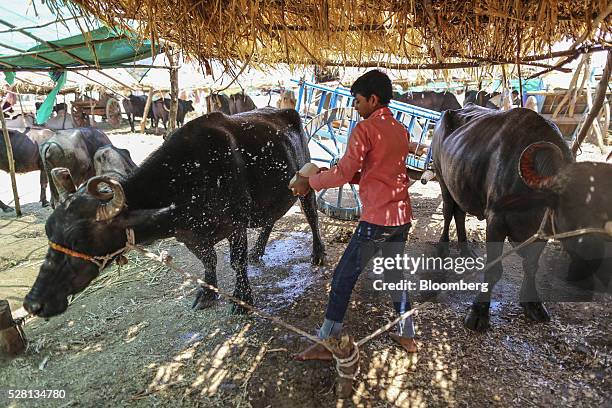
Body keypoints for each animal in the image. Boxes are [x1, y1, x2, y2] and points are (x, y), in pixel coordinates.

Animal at [24, 108, 328, 318]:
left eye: (78, 240)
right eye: (48, 233)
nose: (33, 303)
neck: (189, 178)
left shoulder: (235, 225)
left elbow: (236, 262)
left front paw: (242, 299)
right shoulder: (188, 235)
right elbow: (209, 260)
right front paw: (207, 292)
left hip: (305, 184)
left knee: (311, 216)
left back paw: (318, 253)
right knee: (269, 220)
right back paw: (259, 250)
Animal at [432, 104, 608, 332]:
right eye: (571, 205)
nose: (597, 264)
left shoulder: (541, 231)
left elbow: (531, 266)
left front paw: (532, 304)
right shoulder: (495, 223)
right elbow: (494, 269)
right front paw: (478, 312)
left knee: (459, 212)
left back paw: (466, 250)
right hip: (442, 177)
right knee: (447, 210)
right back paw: (443, 246)